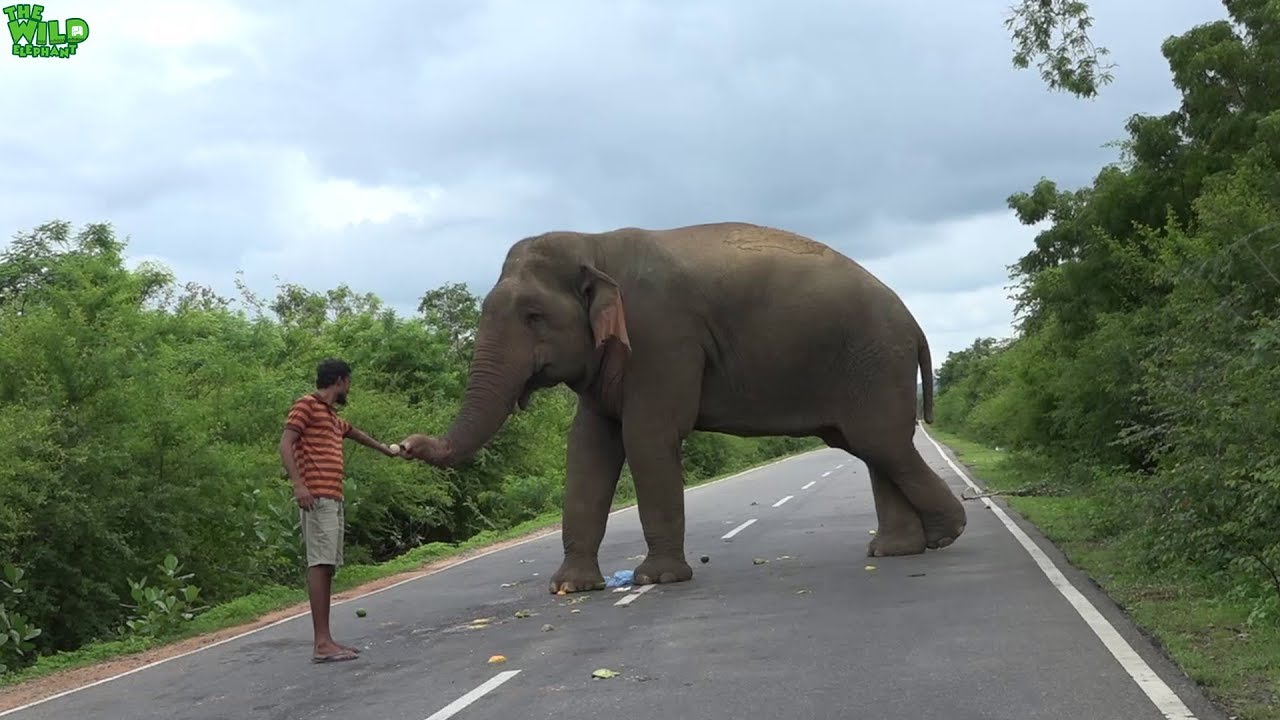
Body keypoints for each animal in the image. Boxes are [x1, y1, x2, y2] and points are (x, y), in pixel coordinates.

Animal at [398, 221, 967, 595]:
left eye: (534, 315)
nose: (405, 444)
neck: (595, 244)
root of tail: (914, 322)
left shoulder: (661, 336)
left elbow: (647, 438)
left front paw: (658, 580)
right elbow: (588, 447)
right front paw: (571, 589)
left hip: (872, 358)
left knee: (879, 442)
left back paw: (946, 536)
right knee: (869, 445)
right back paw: (897, 550)